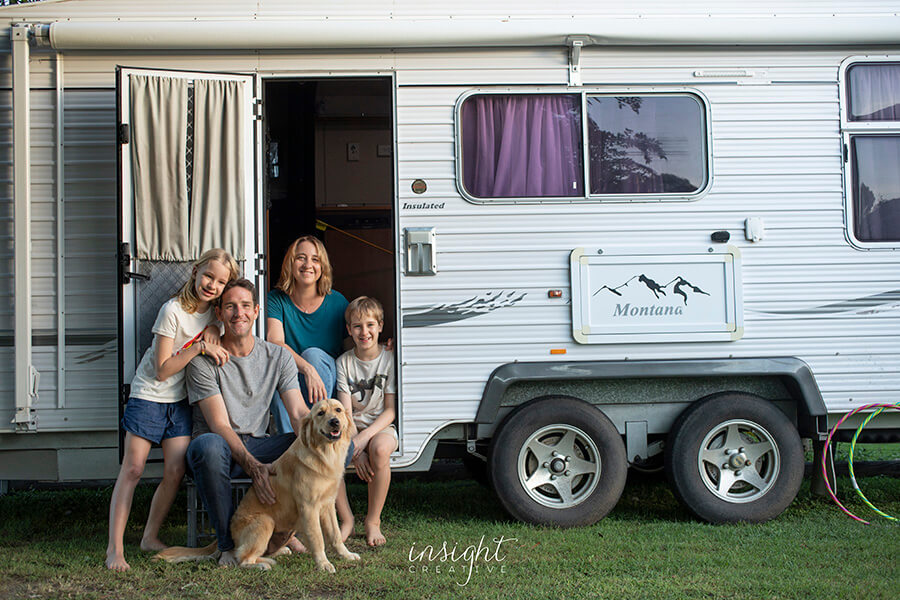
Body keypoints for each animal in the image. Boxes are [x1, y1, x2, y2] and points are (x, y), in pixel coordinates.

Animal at [155, 398, 358, 572]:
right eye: (320, 413)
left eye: (338, 410)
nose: (334, 422)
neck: (324, 454)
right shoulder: (309, 507)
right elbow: (318, 539)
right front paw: (323, 564)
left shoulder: (328, 505)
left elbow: (335, 535)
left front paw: (346, 555)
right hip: (265, 521)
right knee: (243, 559)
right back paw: (262, 564)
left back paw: (277, 554)